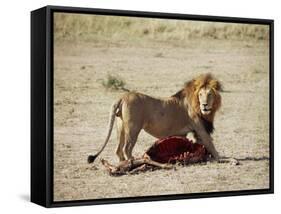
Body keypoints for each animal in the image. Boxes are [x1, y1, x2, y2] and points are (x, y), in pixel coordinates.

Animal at [88, 73, 232, 164]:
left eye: (210, 94)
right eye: (200, 94)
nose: (205, 105)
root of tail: (123, 96)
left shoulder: (189, 133)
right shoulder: (201, 129)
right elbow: (212, 146)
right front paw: (225, 159)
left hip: (121, 127)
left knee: (118, 149)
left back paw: (122, 165)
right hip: (133, 128)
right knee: (126, 148)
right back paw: (132, 163)